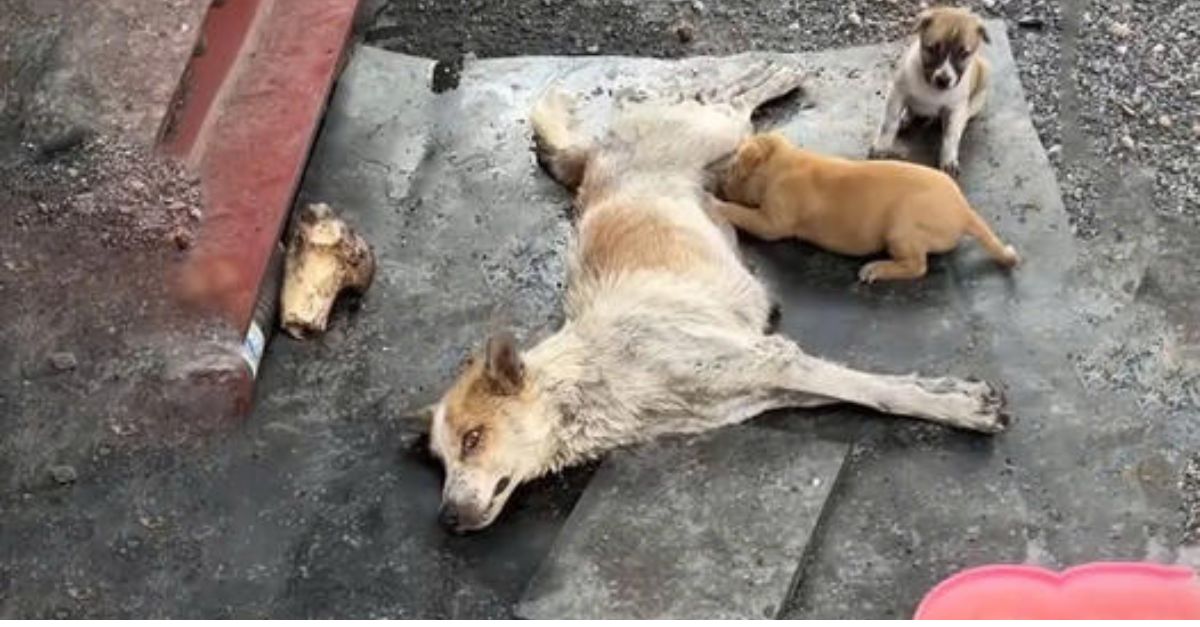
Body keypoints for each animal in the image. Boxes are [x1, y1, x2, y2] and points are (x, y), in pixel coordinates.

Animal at [710, 132, 1022, 282]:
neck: (780, 162)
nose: (717, 181)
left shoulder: (773, 220)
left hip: (901, 228)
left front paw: (713, 203)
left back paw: (876, 269)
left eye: (733, 167)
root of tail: (964, 211)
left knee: (917, 266)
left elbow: (745, 215)